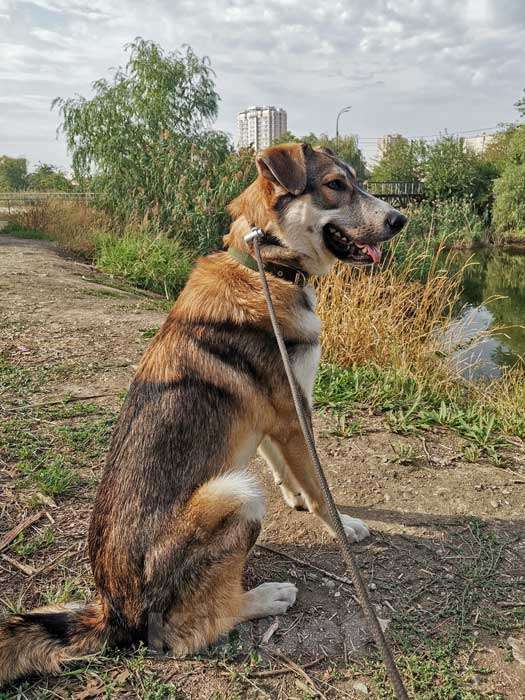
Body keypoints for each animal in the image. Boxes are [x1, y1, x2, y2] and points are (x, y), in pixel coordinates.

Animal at [0, 142, 406, 684]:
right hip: (235, 493)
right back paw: (264, 596)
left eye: (355, 181)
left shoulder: (278, 417)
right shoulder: (294, 411)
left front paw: (295, 497)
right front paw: (343, 525)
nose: (401, 219)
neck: (265, 265)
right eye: (336, 186)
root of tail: (113, 609)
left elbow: (287, 469)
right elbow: (322, 488)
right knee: (191, 628)